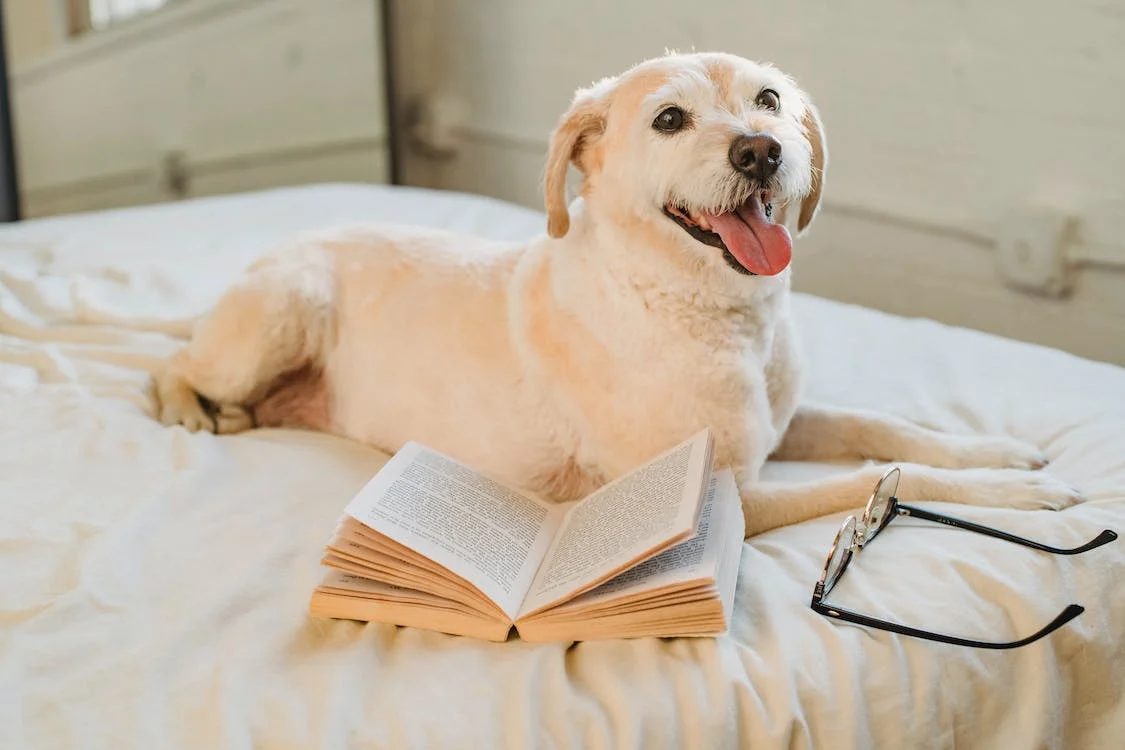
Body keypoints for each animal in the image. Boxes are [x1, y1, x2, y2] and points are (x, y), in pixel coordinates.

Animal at [151, 49, 1080, 537]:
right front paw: (1014, 497)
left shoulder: (786, 424)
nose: (760, 151)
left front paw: (994, 451)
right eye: (669, 120)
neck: (715, 314)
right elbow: (871, 480)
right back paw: (192, 406)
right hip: (285, 309)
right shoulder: (727, 496)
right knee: (171, 363)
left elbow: (881, 429)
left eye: (768, 99)